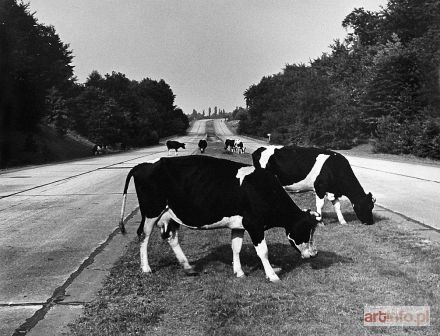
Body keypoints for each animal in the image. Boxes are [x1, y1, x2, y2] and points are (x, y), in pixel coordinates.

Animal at [118, 156, 320, 282]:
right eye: (305, 230)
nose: (314, 254)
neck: (262, 189)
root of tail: (144, 165)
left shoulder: (239, 224)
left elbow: (236, 247)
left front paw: (239, 272)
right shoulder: (254, 225)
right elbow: (263, 251)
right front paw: (272, 275)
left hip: (171, 214)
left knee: (171, 238)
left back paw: (188, 267)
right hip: (151, 212)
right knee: (143, 235)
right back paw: (146, 268)